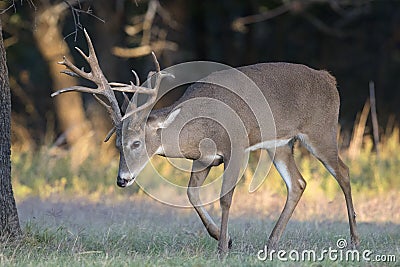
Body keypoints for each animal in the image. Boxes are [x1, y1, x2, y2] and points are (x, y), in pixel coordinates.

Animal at [51, 30, 360, 254]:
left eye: (136, 143)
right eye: (117, 144)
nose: (122, 179)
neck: (197, 129)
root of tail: (329, 79)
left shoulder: (236, 146)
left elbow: (225, 198)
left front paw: (223, 247)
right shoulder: (203, 160)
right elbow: (191, 195)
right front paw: (225, 239)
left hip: (321, 131)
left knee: (344, 172)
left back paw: (354, 239)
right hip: (280, 144)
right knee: (298, 183)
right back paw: (271, 242)